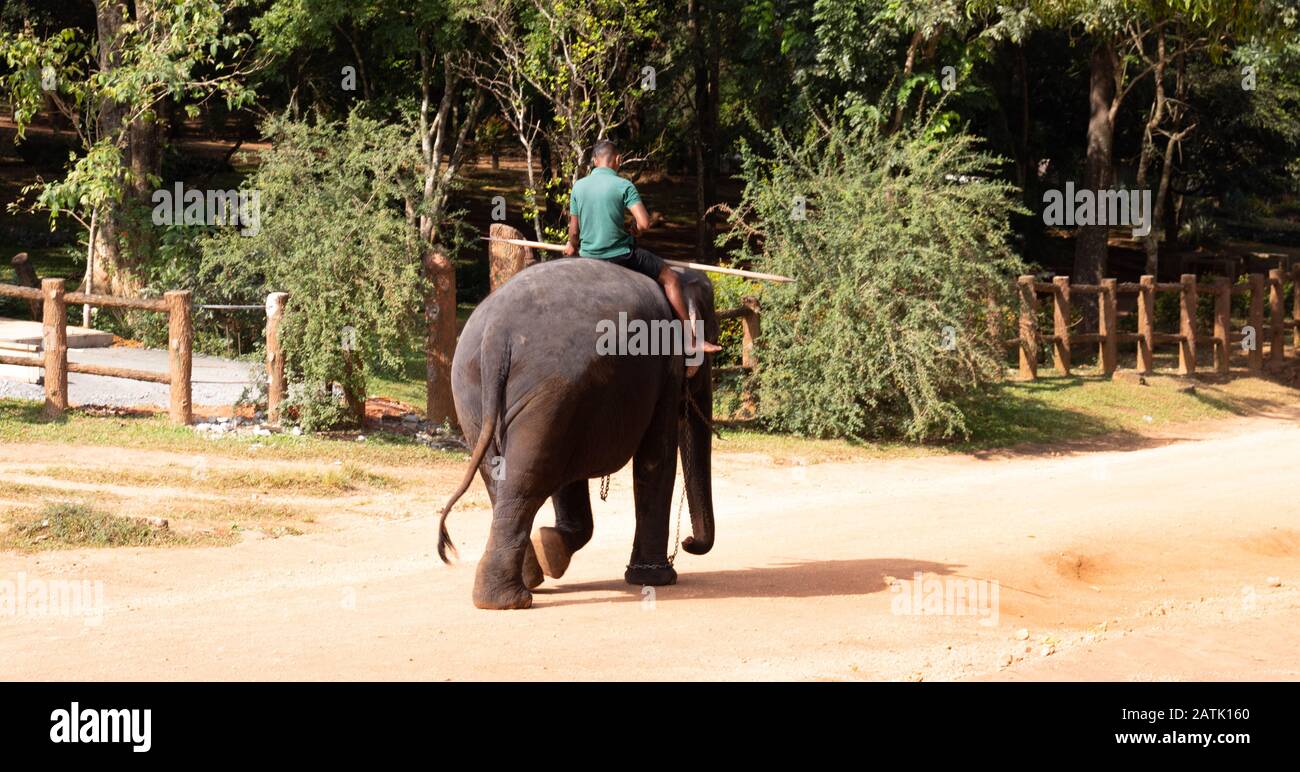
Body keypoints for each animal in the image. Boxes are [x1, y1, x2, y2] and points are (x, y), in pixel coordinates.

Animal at [437, 257, 718, 609]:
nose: (690, 541)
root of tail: (495, 335)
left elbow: (570, 478)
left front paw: (551, 549)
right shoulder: (666, 369)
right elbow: (655, 459)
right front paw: (657, 579)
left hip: (485, 393)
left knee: (506, 478)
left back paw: (519, 587)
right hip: (551, 390)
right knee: (526, 481)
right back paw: (512, 599)